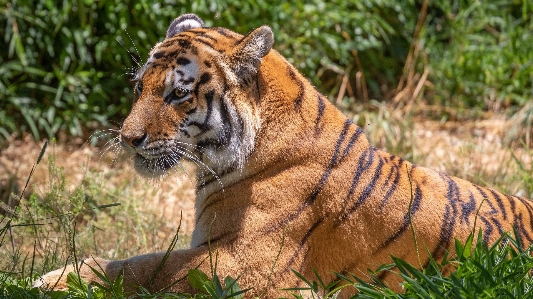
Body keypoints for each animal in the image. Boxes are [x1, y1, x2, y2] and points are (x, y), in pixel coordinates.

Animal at [35, 13, 532, 298]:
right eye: (140, 87)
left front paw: (54, 280)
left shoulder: (243, 267)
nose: (128, 138)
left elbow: (143, 268)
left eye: (177, 93)